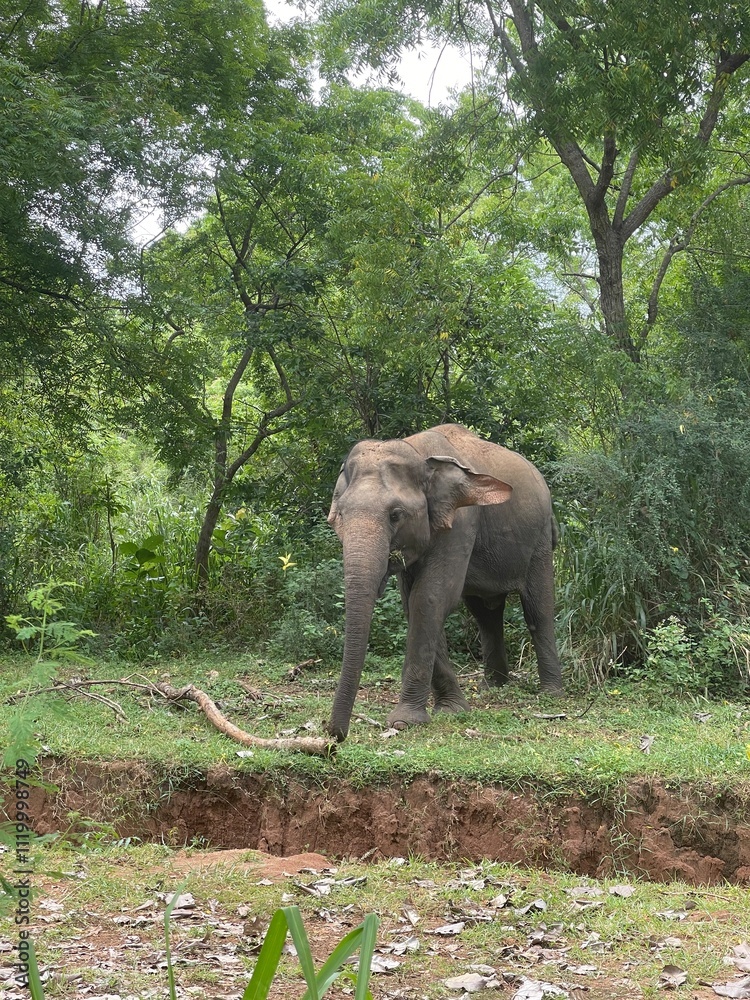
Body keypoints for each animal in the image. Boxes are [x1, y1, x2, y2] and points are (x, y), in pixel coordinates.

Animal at [325, 423, 563, 742]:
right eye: (339, 516)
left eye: (396, 515)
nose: (335, 735)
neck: (417, 452)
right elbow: (414, 603)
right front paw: (451, 709)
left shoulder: (461, 521)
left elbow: (430, 597)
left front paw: (405, 721)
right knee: (486, 614)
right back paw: (493, 687)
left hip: (539, 539)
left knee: (538, 609)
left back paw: (551, 694)